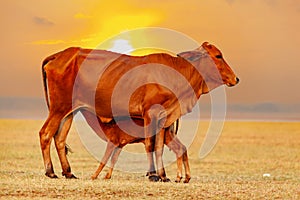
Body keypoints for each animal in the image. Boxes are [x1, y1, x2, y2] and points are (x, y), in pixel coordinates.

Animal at [39, 41, 239, 181]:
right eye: (218, 56)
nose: (236, 79)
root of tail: (60, 55)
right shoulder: (150, 114)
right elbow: (150, 144)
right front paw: (153, 175)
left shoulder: (164, 118)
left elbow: (159, 146)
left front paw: (164, 175)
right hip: (59, 108)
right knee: (46, 133)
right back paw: (51, 172)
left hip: (70, 111)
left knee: (59, 138)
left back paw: (68, 172)